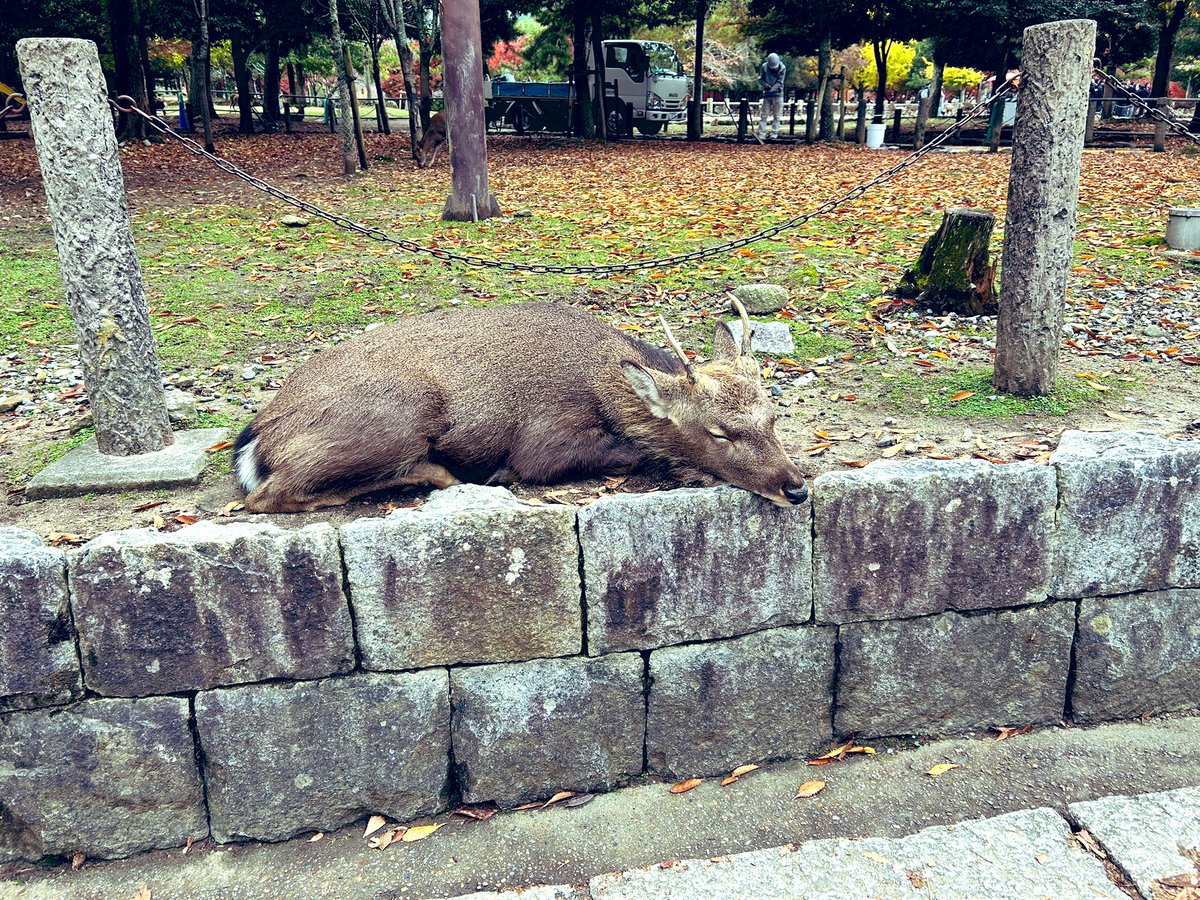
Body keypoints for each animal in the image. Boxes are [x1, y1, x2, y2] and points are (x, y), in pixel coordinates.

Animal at [232, 297, 807, 513]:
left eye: (773, 417)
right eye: (719, 431)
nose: (796, 488)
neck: (604, 381)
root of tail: (256, 438)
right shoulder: (546, 438)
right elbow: (629, 453)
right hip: (395, 419)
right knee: (269, 496)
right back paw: (440, 475)